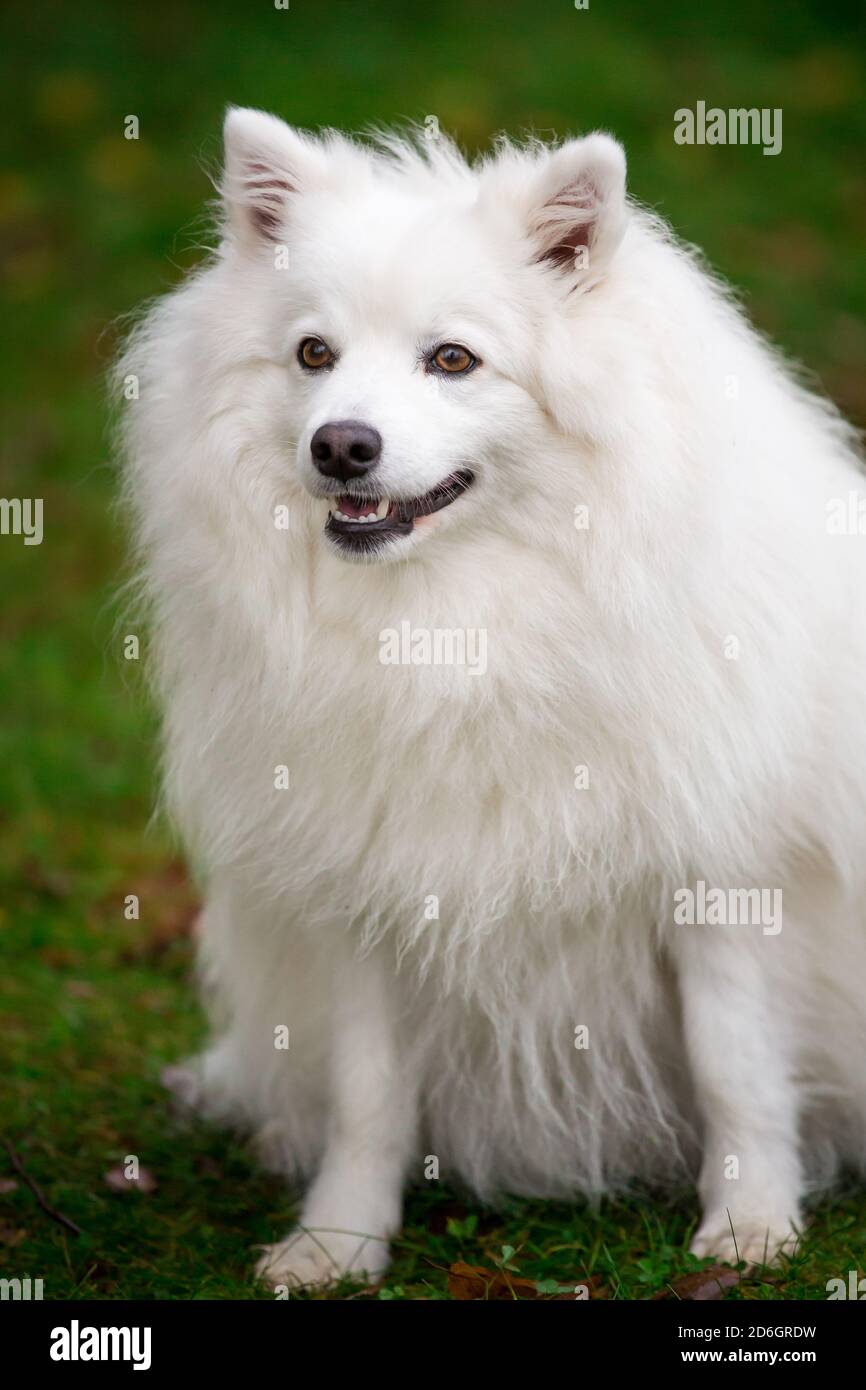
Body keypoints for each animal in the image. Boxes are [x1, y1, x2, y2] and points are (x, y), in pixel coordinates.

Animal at [120, 108, 866, 1289]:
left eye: (453, 359)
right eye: (314, 354)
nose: (341, 446)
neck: (455, 628)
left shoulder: (720, 872)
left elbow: (733, 1064)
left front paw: (750, 1227)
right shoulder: (365, 893)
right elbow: (368, 1094)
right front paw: (336, 1242)